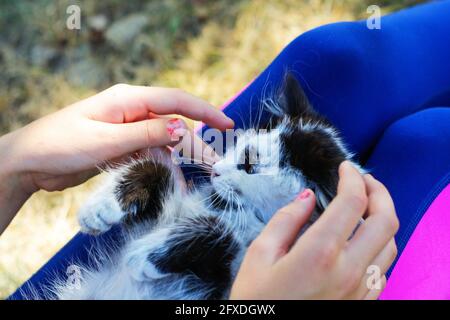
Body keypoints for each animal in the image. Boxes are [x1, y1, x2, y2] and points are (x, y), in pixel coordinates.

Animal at [51, 73, 364, 300]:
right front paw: (100, 209)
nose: (215, 170)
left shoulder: (228, 281)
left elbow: (219, 230)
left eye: (249, 165)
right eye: (240, 143)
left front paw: (142, 256)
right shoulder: (162, 217)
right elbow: (155, 168)